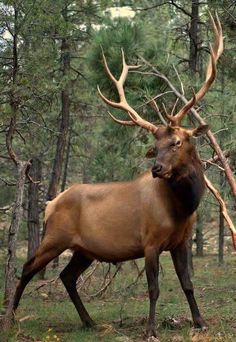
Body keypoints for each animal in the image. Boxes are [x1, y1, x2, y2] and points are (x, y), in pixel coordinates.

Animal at [11, 14, 223, 340]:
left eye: (176, 142)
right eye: (154, 147)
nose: (156, 169)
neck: (183, 208)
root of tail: (50, 203)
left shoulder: (181, 242)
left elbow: (188, 284)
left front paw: (200, 322)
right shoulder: (150, 242)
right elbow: (153, 289)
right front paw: (151, 329)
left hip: (84, 250)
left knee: (66, 276)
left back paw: (89, 321)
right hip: (54, 236)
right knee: (27, 267)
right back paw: (10, 316)